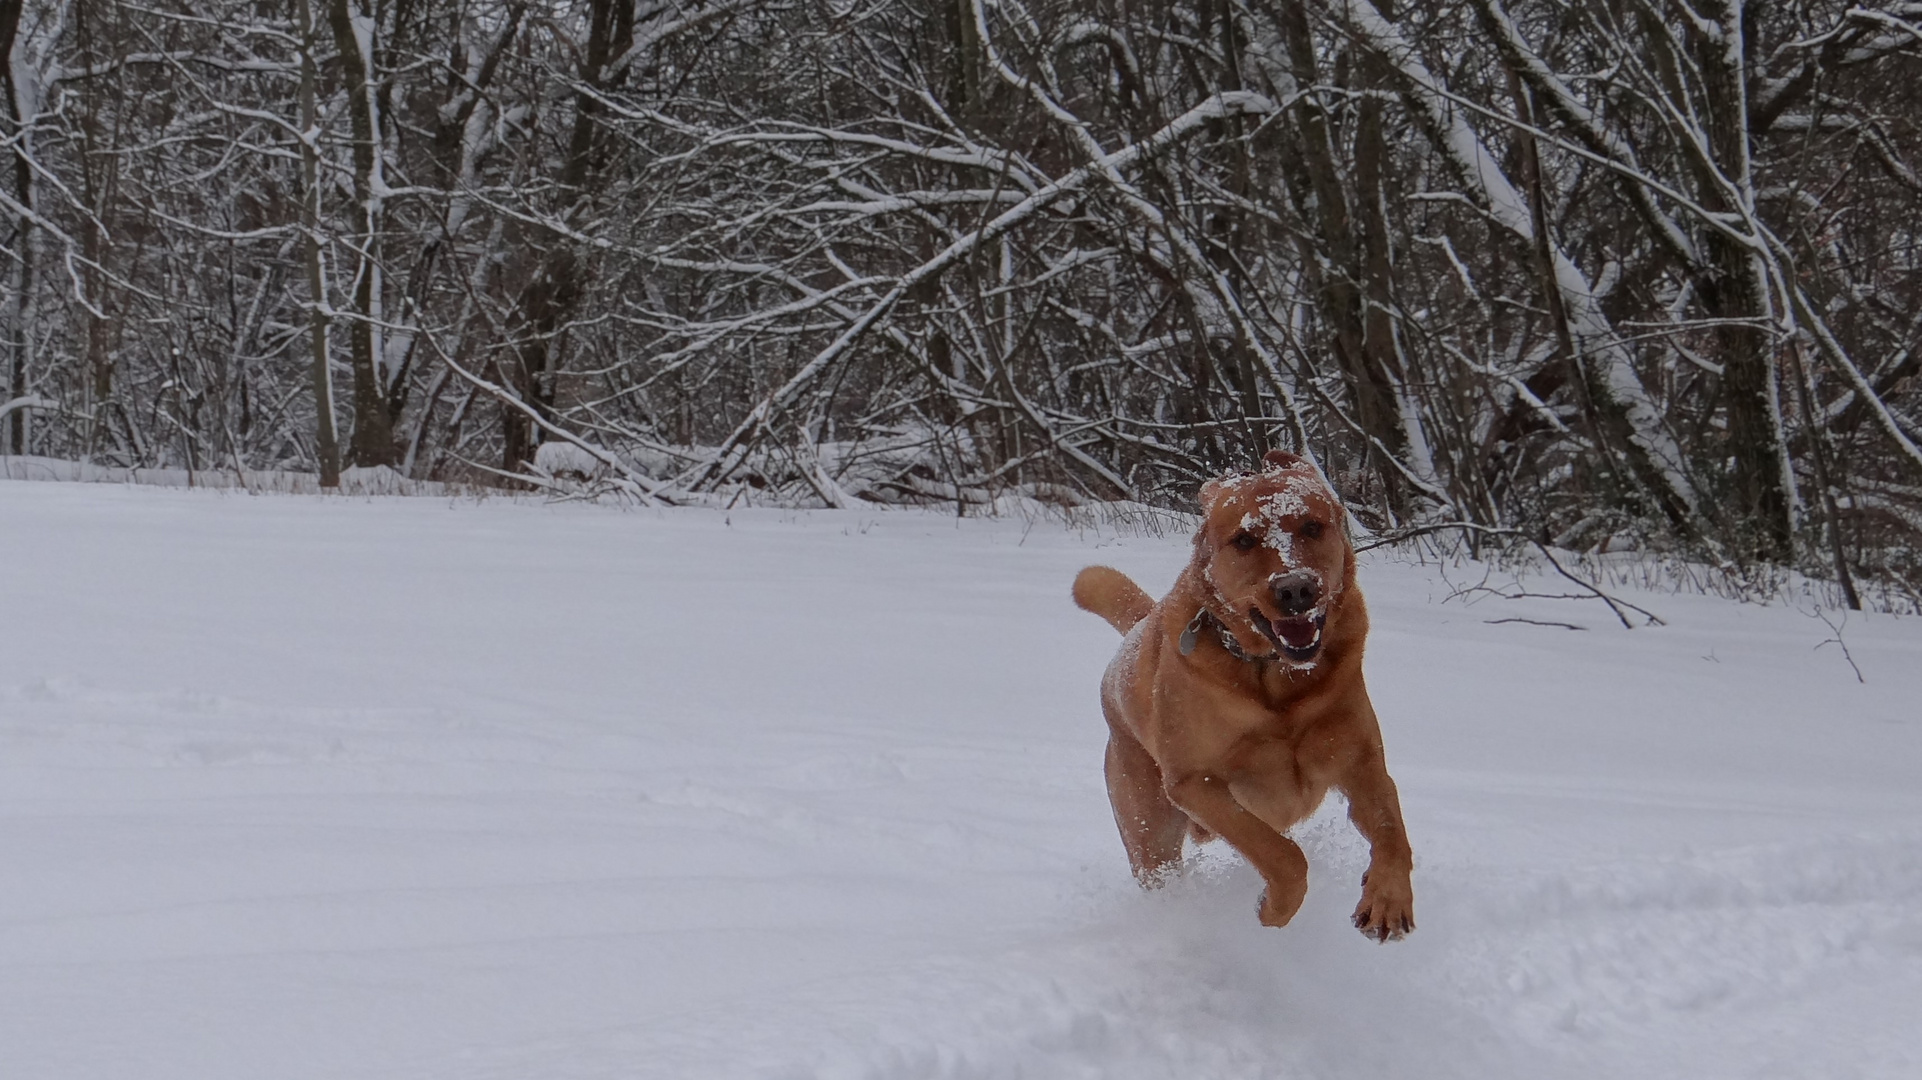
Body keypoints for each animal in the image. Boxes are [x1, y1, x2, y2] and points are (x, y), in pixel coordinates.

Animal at [1084, 445, 1414, 933]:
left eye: (1312, 526)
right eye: (1243, 540)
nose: (1295, 589)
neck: (1275, 680)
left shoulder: (1361, 763)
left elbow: (1392, 832)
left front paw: (1388, 899)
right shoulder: (1195, 783)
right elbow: (1283, 855)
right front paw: (1271, 910)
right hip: (1150, 831)